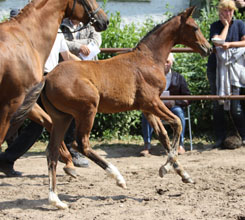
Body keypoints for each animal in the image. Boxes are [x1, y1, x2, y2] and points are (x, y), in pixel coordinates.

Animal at [0, 0, 108, 176]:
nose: (104, 20)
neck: (26, 38)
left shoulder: (26, 101)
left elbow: (49, 121)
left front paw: (68, 162)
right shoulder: (12, 102)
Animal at [41, 7, 212, 210]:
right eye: (195, 27)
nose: (208, 48)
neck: (148, 59)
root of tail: (47, 79)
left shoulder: (146, 108)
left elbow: (163, 135)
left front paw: (183, 174)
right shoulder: (152, 102)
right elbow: (177, 123)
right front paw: (165, 168)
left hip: (62, 117)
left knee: (52, 151)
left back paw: (55, 199)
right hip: (87, 109)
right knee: (80, 143)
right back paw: (118, 177)